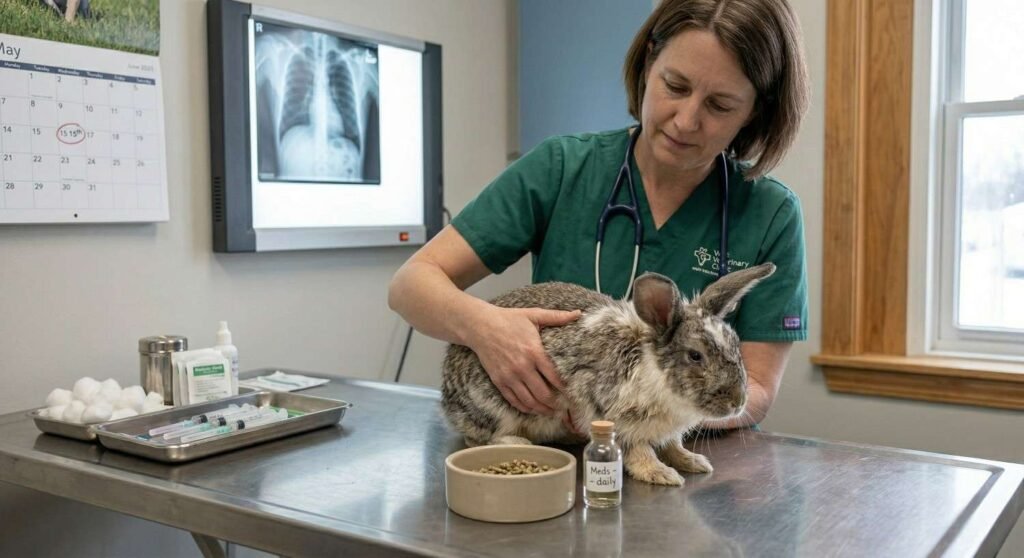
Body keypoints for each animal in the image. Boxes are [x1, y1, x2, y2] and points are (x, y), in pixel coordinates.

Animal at [441, 262, 776, 486]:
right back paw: (520, 444)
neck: (656, 370)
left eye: (735, 344)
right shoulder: (614, 415)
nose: (738, 403)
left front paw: (693, 462)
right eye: (695, 356)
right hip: (495, 407)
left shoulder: (665, 429)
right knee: (480, 437)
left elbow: (672, 445)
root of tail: (447, 401)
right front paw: (661, 474)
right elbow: (638, 451)